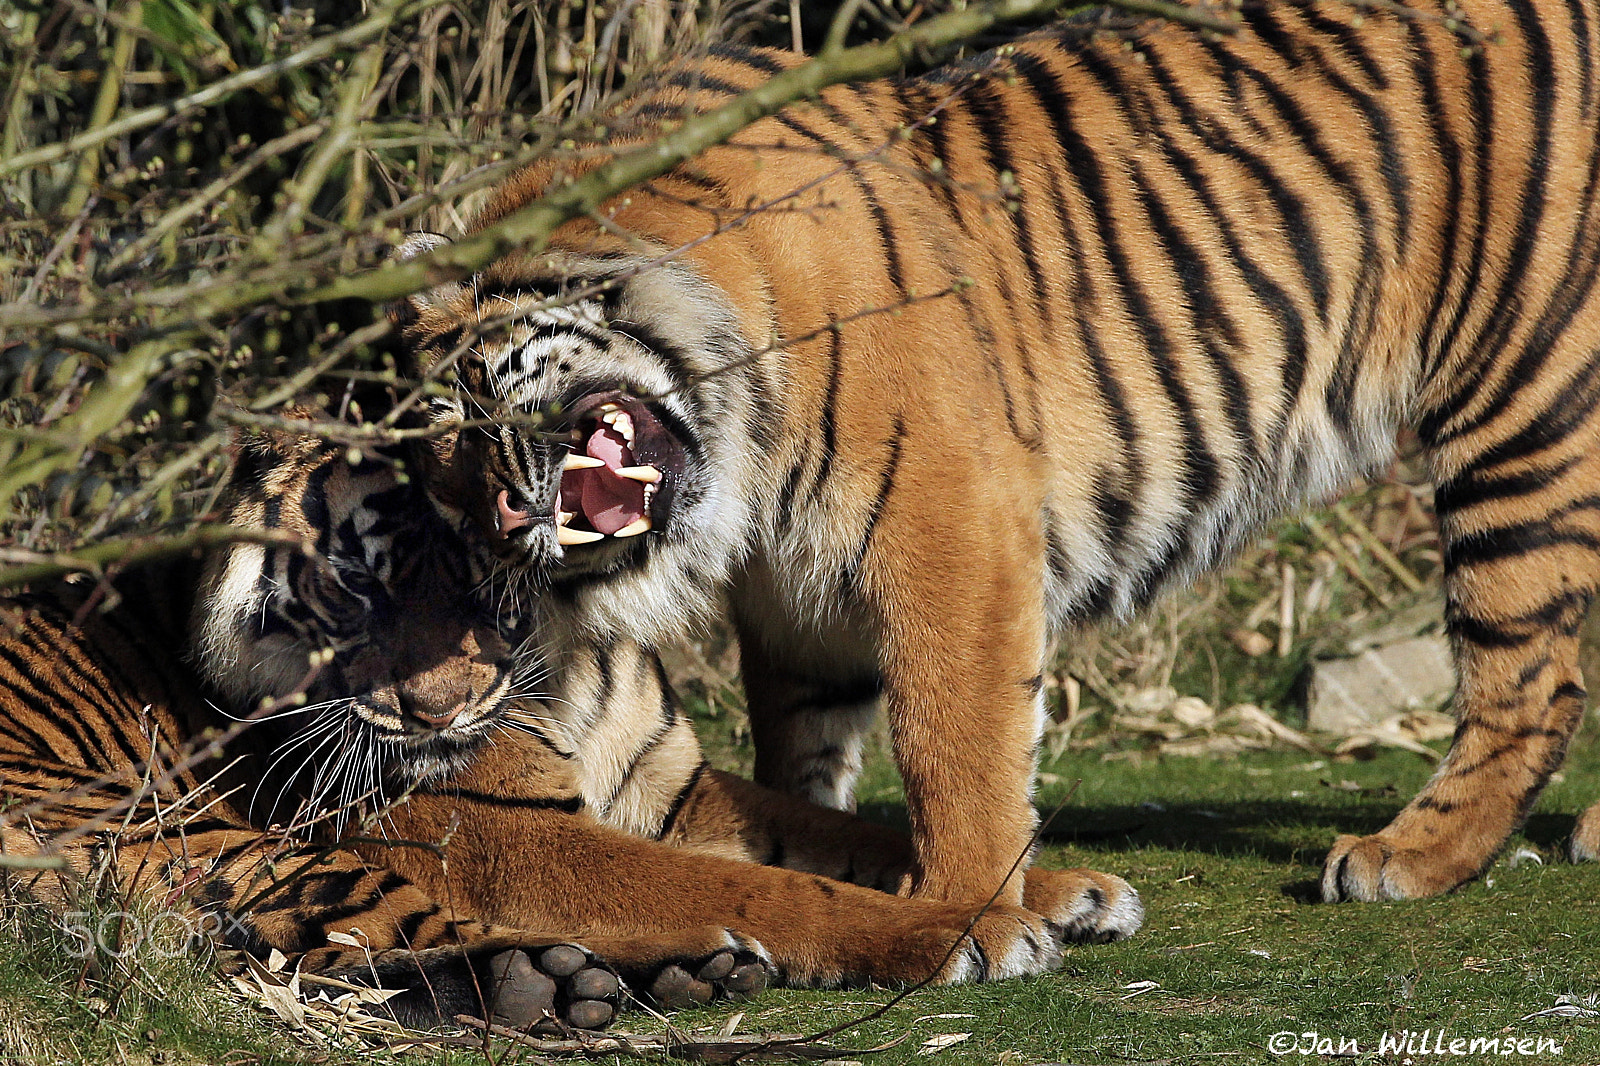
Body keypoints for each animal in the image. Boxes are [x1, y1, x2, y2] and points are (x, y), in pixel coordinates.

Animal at [0, 422, 1139, 1030]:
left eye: (483, 567)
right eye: (362, 579)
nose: (436, 708)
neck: (563, 662)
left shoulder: (672, 786)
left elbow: (847, 835)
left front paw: (1066, 889)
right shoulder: (511, 833)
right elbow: (768, 886)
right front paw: (967, 930)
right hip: (184, 827)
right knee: (405, 949)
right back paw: (627, 973)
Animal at [396, 0, 1600, 902]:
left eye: (471, 411)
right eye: (444, 476)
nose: (507, 520)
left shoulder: (950, 525)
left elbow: (953, 740)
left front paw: (967, 911)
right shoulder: (792, 594)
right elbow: (800, 746)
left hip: (1523, 403)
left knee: (1531, 677)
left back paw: (1407, 857)